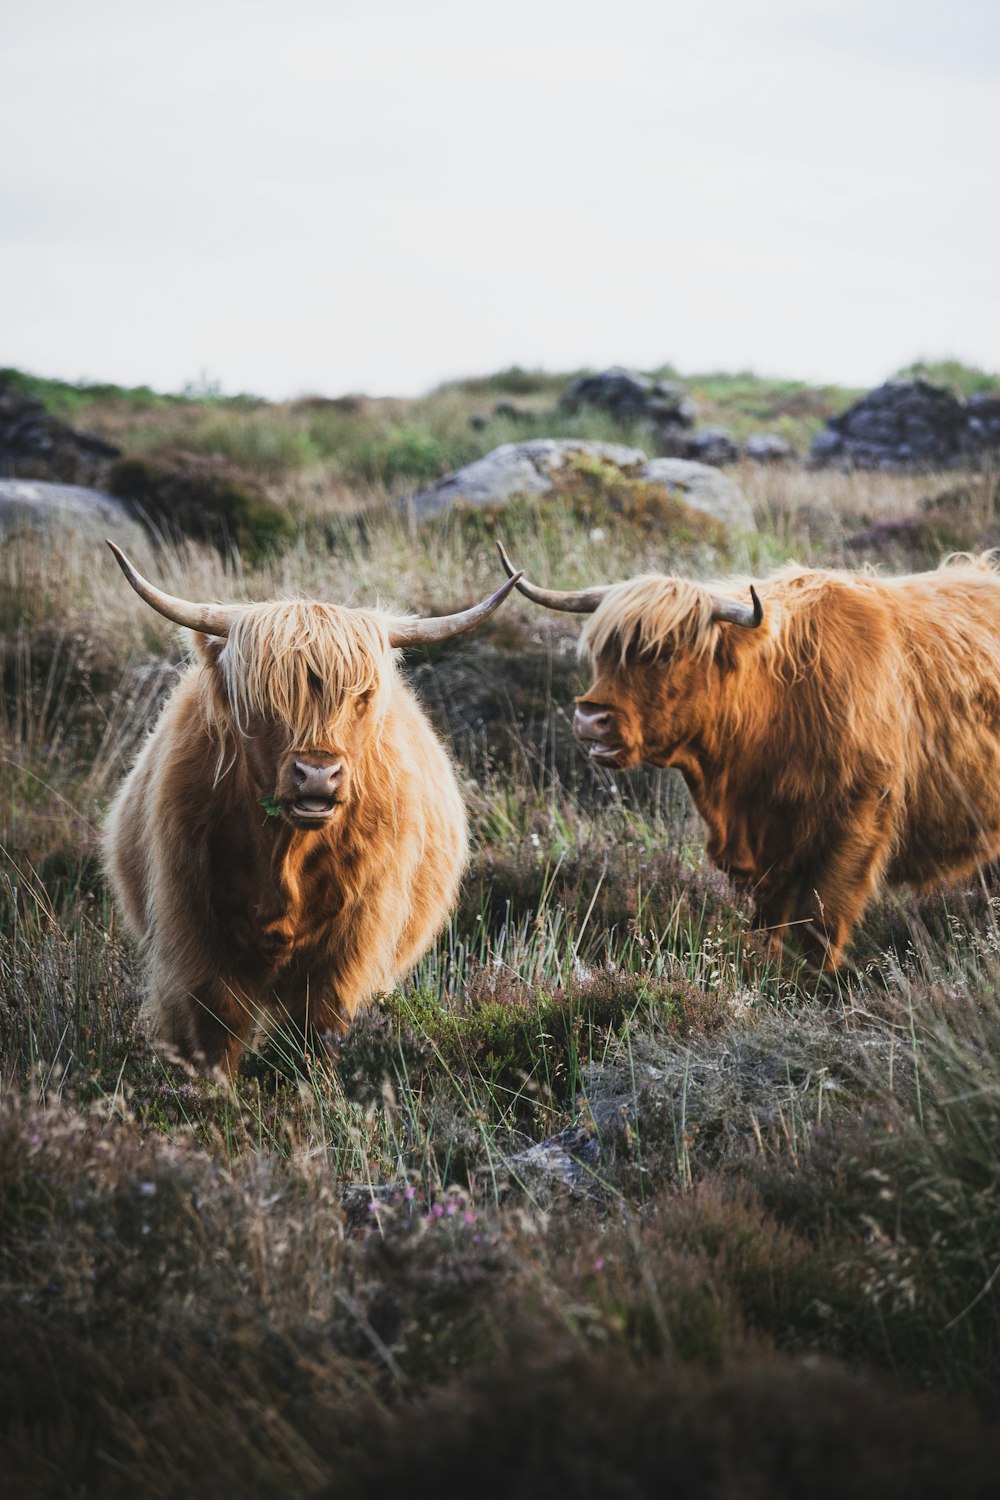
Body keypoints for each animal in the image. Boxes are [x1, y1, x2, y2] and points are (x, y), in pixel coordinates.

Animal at [104, 546, 521, 1074]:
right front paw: (209, 1091)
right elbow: (214, 1029)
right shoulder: (192, 932)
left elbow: (316, 1028)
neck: (285, 852)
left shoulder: (349, 949)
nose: (318, 775)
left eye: (361, 697)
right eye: (265, 699)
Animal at [500, 543, 1000, 972]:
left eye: (664, 652)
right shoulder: (765, 845)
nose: (590, 718)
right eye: (602, 653)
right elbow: (767, 924)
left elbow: (821, 925)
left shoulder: (857, 821)